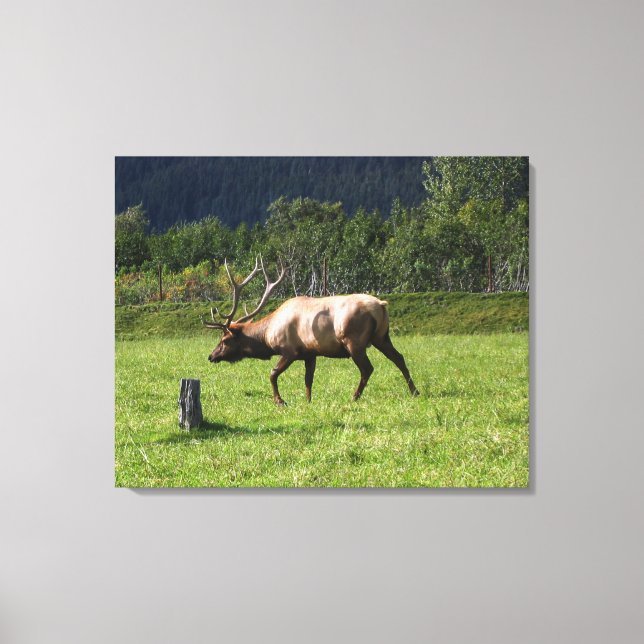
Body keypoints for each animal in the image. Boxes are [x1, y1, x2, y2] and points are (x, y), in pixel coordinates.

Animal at [204, 257, 420, 405]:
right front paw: (308, 401)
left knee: (367, 368)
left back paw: (354, 397)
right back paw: (414, 391)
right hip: (382, 336)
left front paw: (280, 401)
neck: (268, 336)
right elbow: (309, 379)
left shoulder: (290, 350)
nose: (211, 356)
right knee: (399, 358)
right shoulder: (310, 353)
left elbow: (273, 373)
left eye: (224, 340)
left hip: (354, 341)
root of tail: (381, 305)